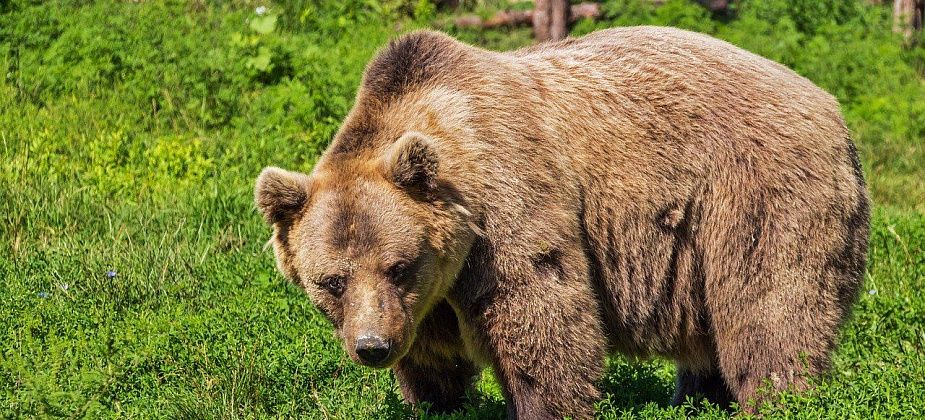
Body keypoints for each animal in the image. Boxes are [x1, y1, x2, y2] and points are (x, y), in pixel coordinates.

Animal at [254, 27, 870, 418]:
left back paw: (777, 396)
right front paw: (436, 399)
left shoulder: (507, 202)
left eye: (398, 266)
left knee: (770, 308)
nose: (372, 347)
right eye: (331, 281)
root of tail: (832, 108)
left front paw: (542, 403)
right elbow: (432, 355)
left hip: (755, 194)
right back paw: (697, 396)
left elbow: (541, 310)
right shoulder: (430, 292)